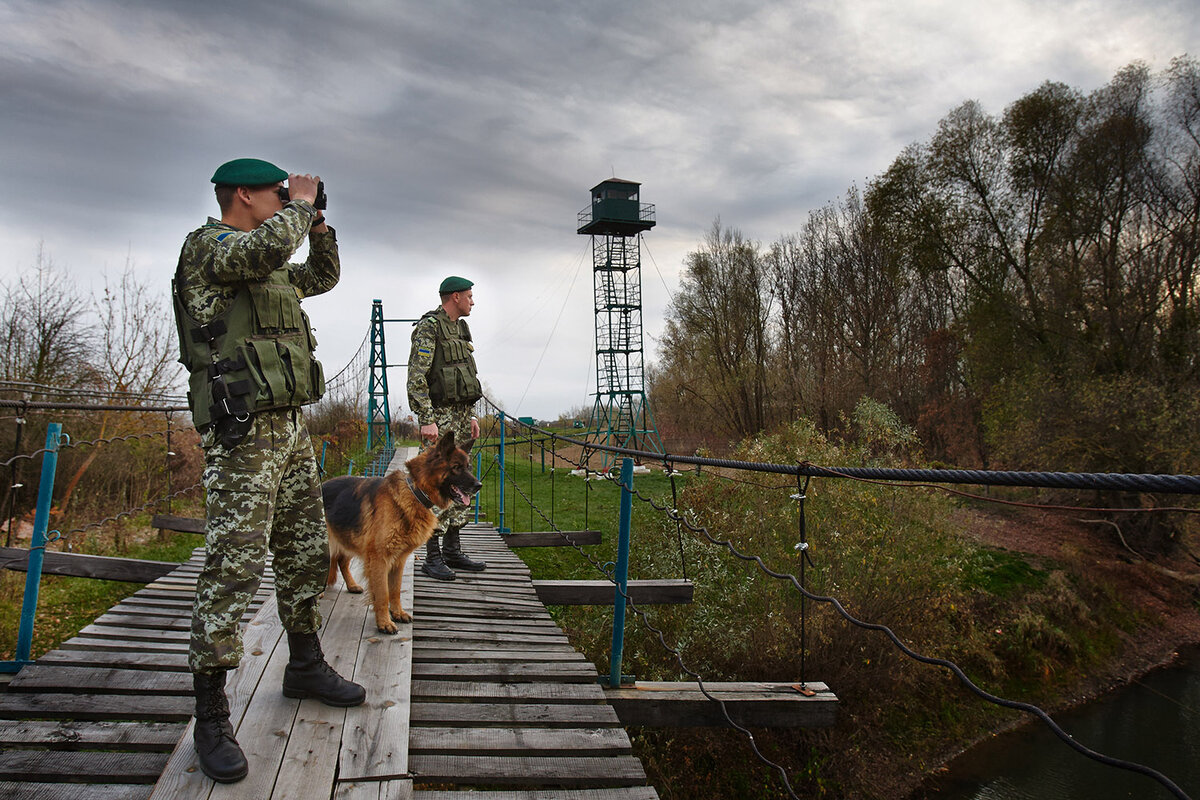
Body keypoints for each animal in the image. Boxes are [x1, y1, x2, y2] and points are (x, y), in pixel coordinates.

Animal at [326, 434, 484, 633]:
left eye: (468, 467)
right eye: (456, 467)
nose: (479, 485)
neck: (416, 492)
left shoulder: (398, 560)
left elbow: (395, 590)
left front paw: (397, 613)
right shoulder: (379, 559)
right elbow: (383, 593)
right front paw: (384, 622)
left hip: (347, 539)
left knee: (342, 561)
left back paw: (352, 585)